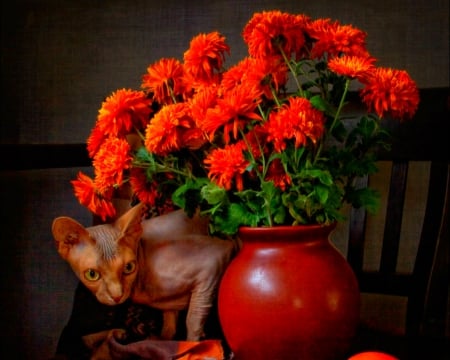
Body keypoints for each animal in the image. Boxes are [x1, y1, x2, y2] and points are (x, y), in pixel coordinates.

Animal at [52, 204, 234, 342]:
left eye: (129, 267)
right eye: (92, 274)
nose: (117, 296)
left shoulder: (215, 259)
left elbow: (194, 319)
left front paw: (193, 345)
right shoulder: (170, 306)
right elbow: (169, 324)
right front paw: (163, 339)